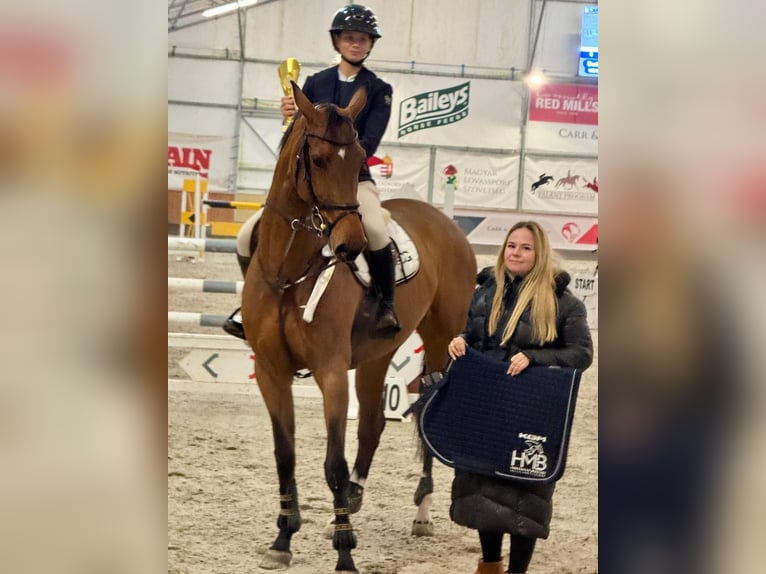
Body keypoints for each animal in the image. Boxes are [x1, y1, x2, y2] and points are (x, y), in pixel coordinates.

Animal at [241, 82, 477, 573]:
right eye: (318, 160)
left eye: (359, 160)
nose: (350, 245)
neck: (289, 269)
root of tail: (443, 220)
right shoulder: (271, 372)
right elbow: (285, 454)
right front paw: (283, 537)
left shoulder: (331, 372)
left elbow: (332, 461)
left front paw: (345, 551)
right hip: (377, 355)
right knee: (372, 422)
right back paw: (355, 495)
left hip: (442, 339)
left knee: (425, 407)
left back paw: (422, 511)